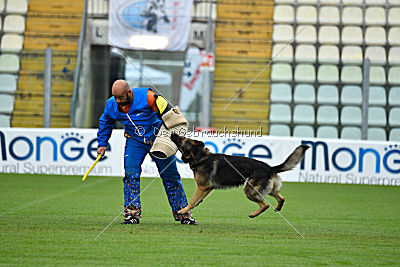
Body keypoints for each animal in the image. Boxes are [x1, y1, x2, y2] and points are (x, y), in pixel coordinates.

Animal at [170, 135, 310, 219]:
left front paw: (183, 210)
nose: (173, 134)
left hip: (249, 190)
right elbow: (198, 200)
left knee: (265, 205)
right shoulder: (207, 188)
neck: (200, 157)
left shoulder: (202, 187)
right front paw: (193, 206)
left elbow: (192, 200)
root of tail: (270, 168)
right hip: (268, 190)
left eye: (182, 139)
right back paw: (277, 208)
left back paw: (254, 214)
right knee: (281, 198)